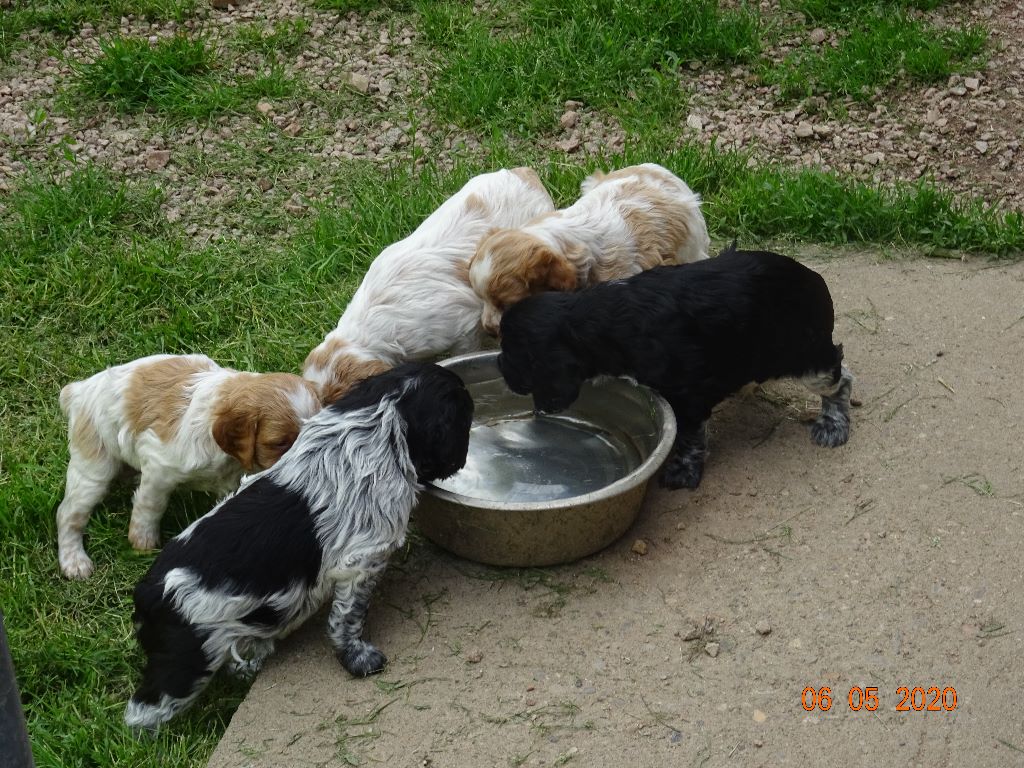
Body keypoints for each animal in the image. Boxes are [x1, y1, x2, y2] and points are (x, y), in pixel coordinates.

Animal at [56, 354, 319, 577]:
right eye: (280, 443)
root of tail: (77, 390)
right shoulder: (159, 468)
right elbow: (150, 506)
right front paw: (143, 541)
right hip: (94, 466)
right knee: (68, 514)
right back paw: (74, 561)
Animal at [122, 360, 471, 733]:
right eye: (465, 418)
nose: (462, 459)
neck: (375, 419)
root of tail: (147, 592)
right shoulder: (361, 561)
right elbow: (348, 618)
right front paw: (358, 658)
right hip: (185, 660)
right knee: (142, 709)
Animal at [499, 243, 851, 489]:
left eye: (511, 353)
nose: (500, 367)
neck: (604, 321)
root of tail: (813, 277)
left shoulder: (689, 393)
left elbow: (689, 436)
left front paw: (683, 471)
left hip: (805, 354)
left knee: (840, 378)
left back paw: (832, 424)